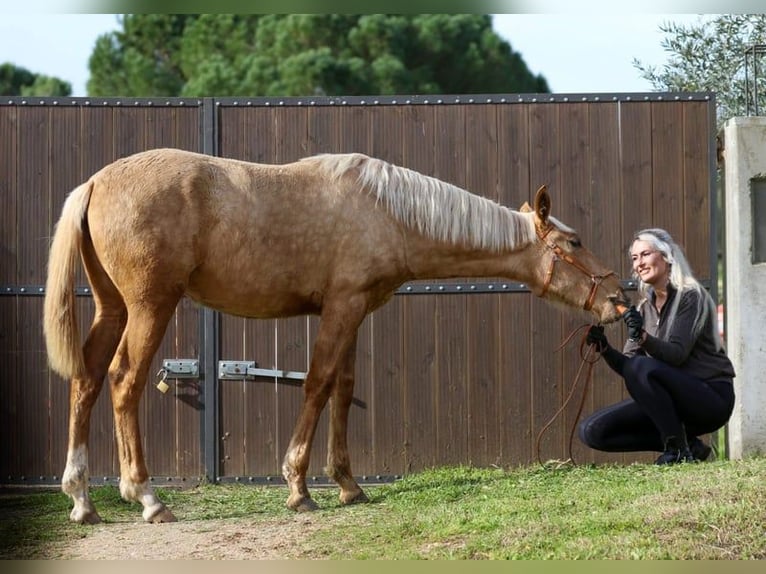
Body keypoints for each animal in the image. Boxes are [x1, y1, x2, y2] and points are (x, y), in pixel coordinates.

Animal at [43, 148, 632, 528]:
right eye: (575, 242)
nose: (617, 299)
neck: (387, 210)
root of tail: (94, 184)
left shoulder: (353, 313)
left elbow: (343, 390)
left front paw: (348, 484)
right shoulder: (341, 308)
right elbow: (318, 383)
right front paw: (299, 487)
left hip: (113, 307)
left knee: (86, 381)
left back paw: (82, 499)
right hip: (149, 307)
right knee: (123, 381)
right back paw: (146, 497)